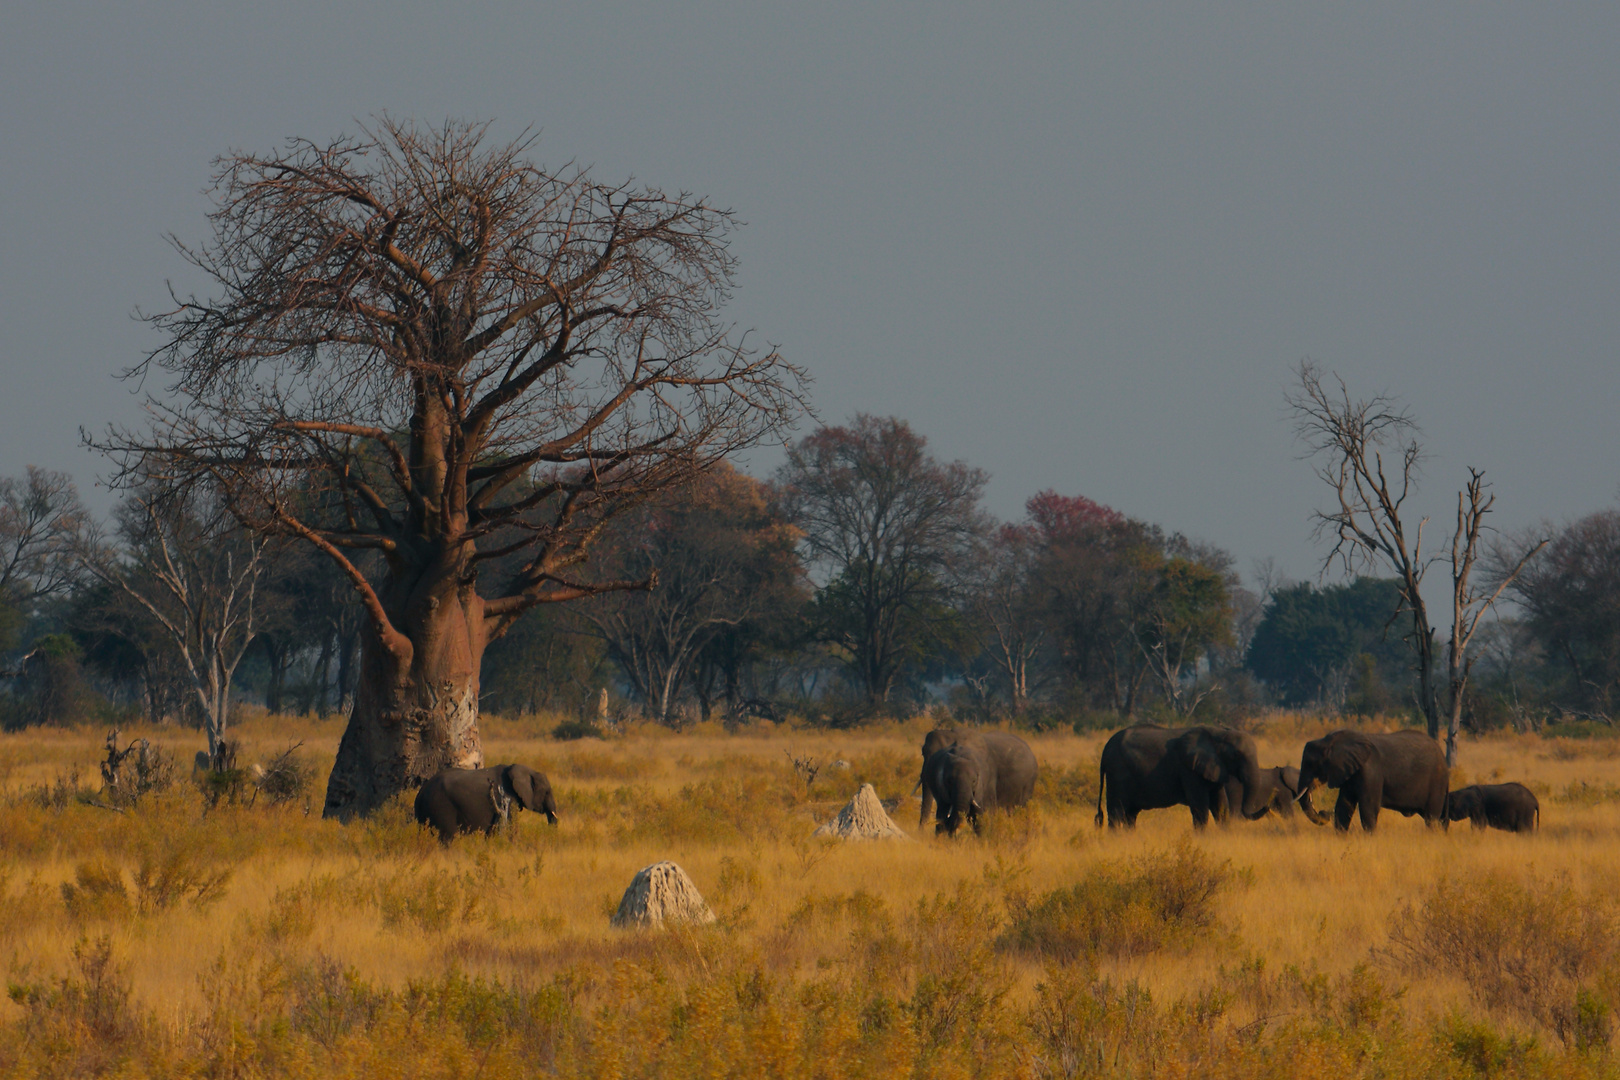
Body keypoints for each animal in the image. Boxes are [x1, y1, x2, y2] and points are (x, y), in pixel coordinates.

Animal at [414, 761, 560, 841]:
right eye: (547, 792)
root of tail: (421, 792)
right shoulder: (508, 798)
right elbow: (512, 825)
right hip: (441, 805)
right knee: (447, 836)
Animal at [1095, 731, 1270, 835]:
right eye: (1236, 755)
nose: (1267, 807)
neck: (1217, 734)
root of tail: (1105, 749)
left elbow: (1220, 805)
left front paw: (1224, 834)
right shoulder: (1189, 771)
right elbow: (1200, 805)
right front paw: (1201, 837)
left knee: (1131, 814)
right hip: (1117, 773)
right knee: (1117, 811)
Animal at [1296, 731, 1451, 835]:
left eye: (1310, 764)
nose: (1324, 813)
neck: (1331, 741)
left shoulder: (1370, 770)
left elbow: (1368, 805)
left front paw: (1370, 837)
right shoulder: (1349, 772)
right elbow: (1344, 804)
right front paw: (1341, 836)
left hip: (1437, 781)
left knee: (1431, 817)